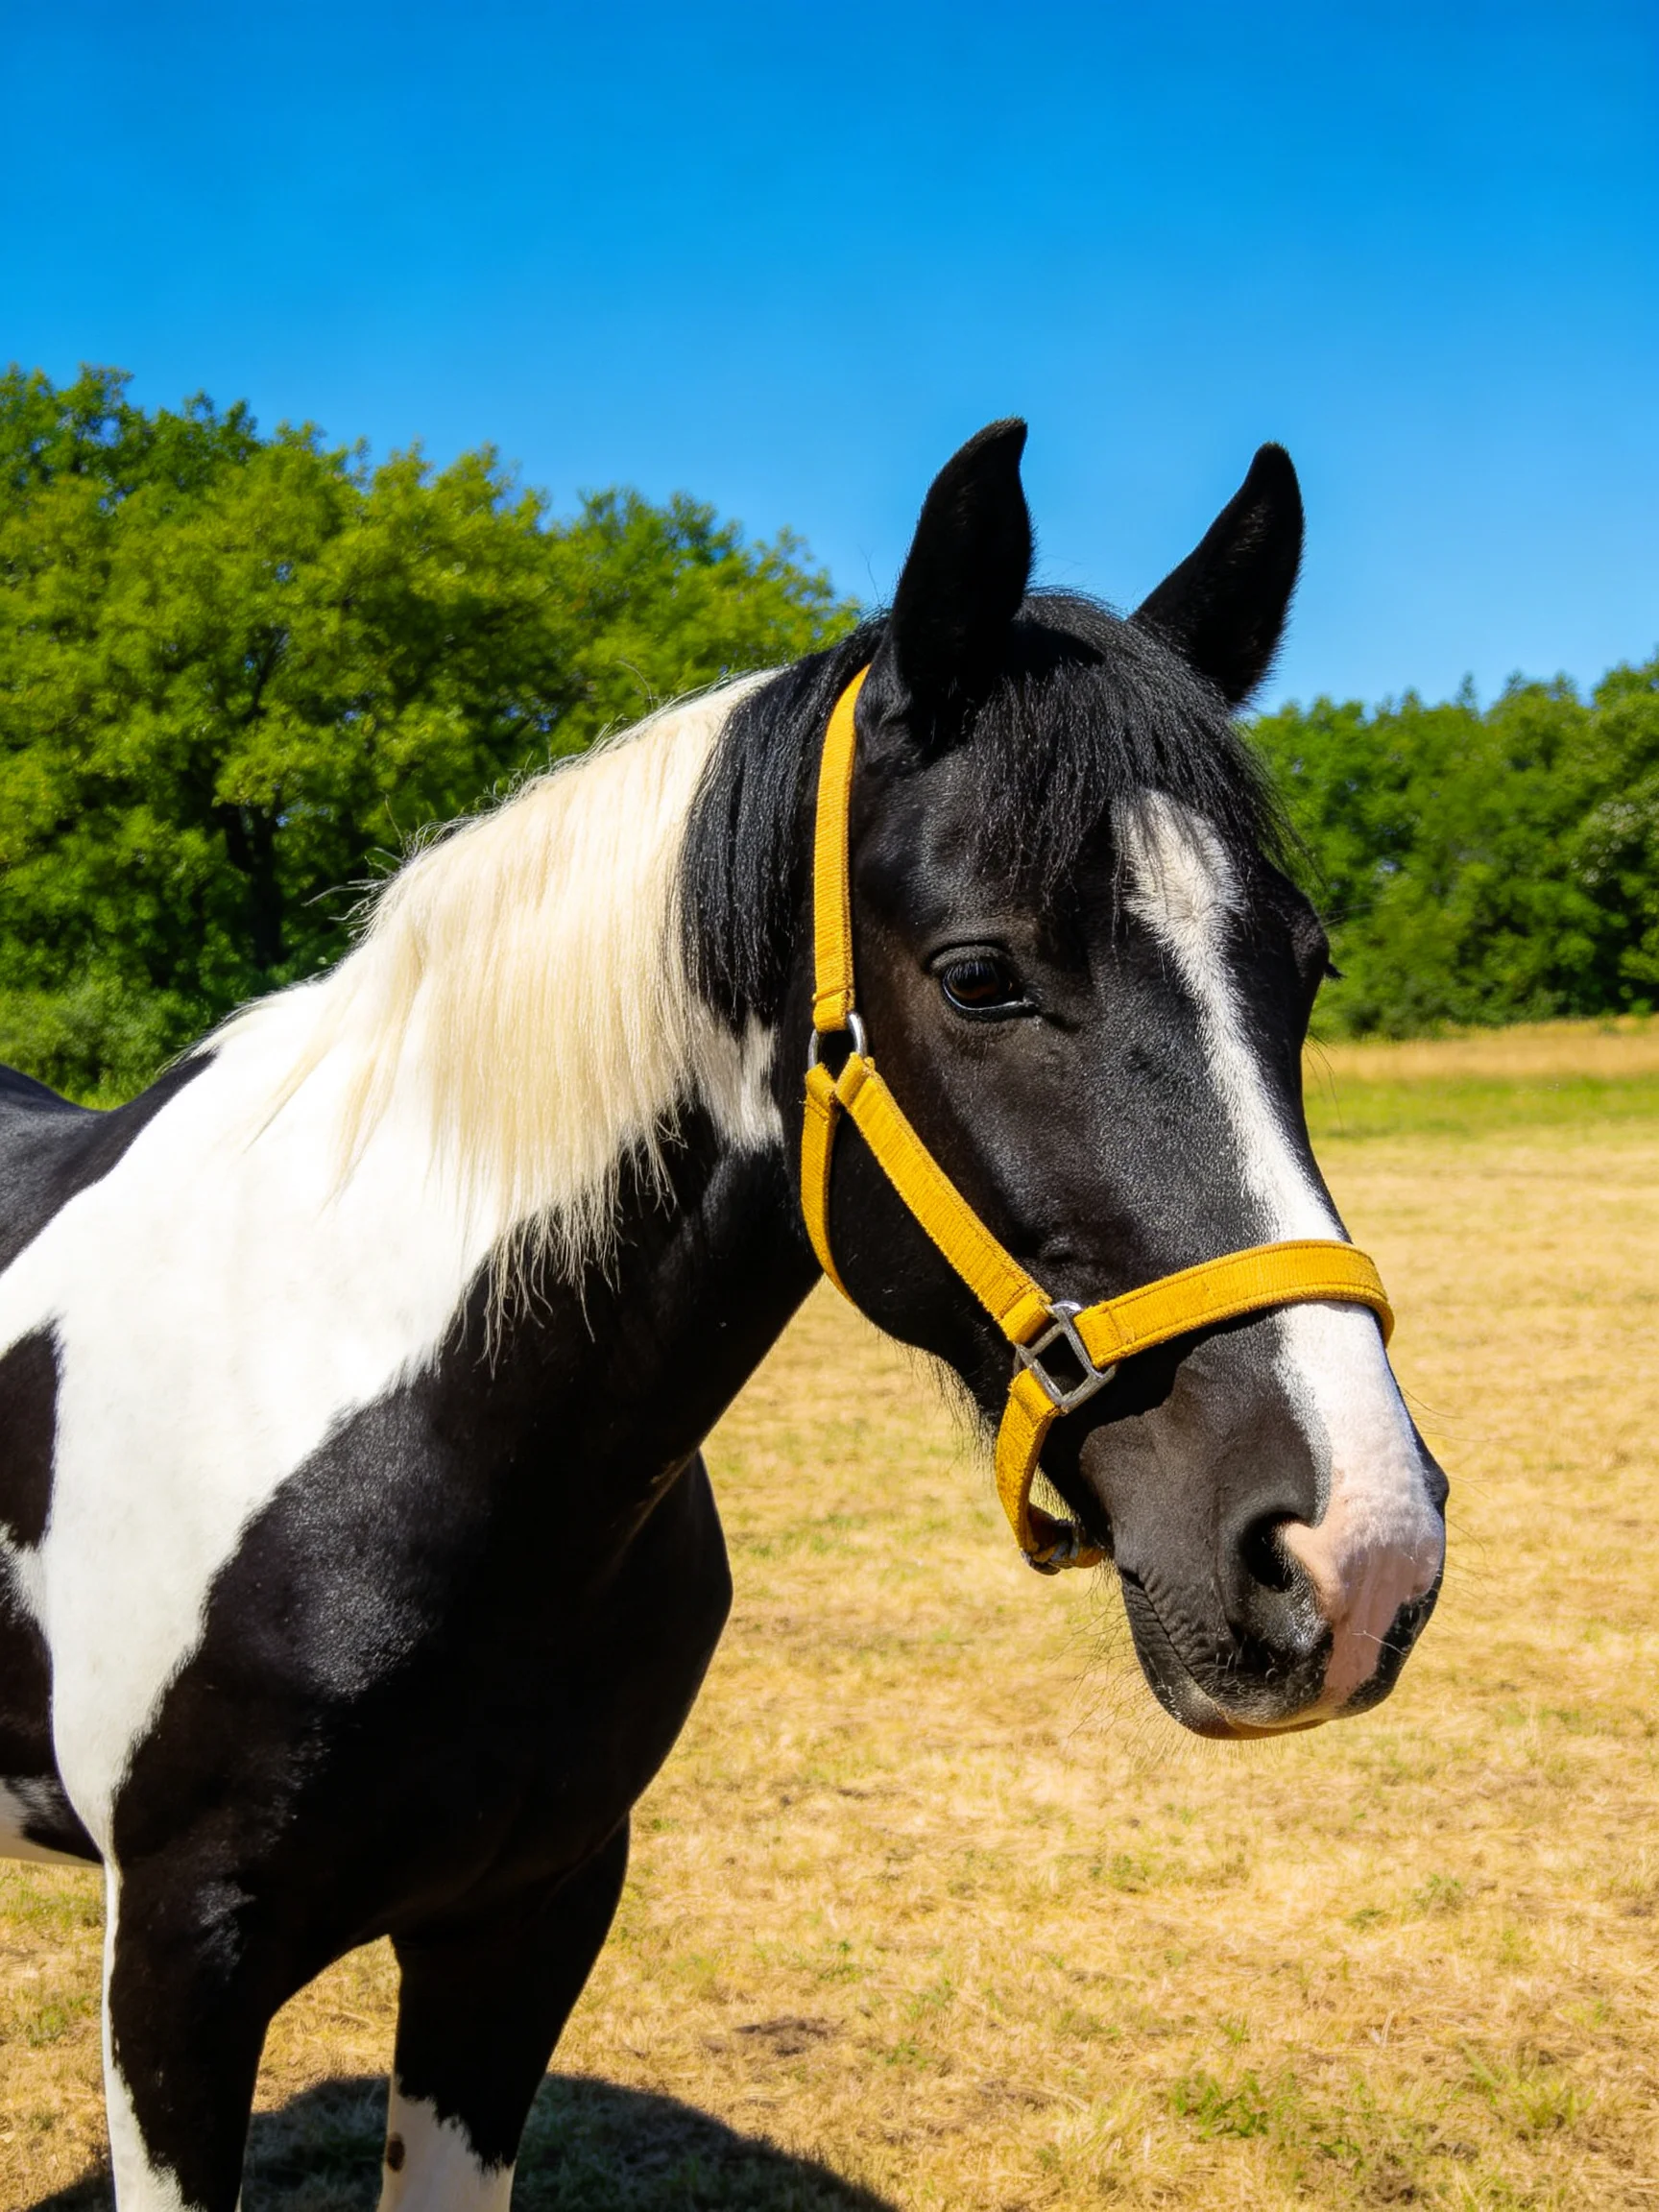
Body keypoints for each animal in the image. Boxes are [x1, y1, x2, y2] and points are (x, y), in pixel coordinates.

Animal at [0, 420, 1446, 2210]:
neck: (383, 1428)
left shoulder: (523, 1918)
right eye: (979, 975)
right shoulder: (175, 1970)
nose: (1359, 1550)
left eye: (1302, 970)